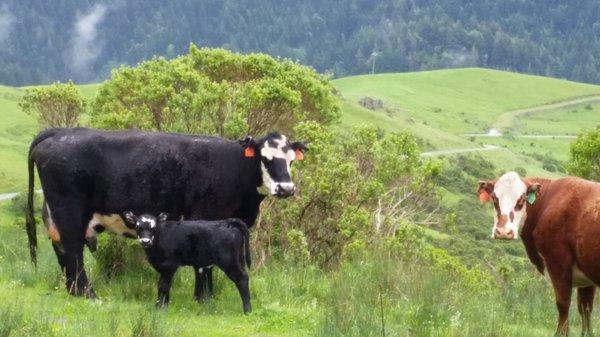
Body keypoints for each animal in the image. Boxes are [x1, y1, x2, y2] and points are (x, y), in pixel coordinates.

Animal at [25, 128, 308, 296]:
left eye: (291, 160)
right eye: (265, 158)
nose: (286, 188)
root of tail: (62, 131)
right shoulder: (204, 217)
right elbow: (204, 263)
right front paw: (204, 297)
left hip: (55, 213)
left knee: (62, 250)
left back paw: (73, 292)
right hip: (70, 211)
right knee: (73, 250)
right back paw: (89, 295)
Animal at [478, 172, 600, 334]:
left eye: (521, 199)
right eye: (494, 198)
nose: (503, 232)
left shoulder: (557, 263)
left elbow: (563, 304)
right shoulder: (586, 275)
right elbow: (585, 309)